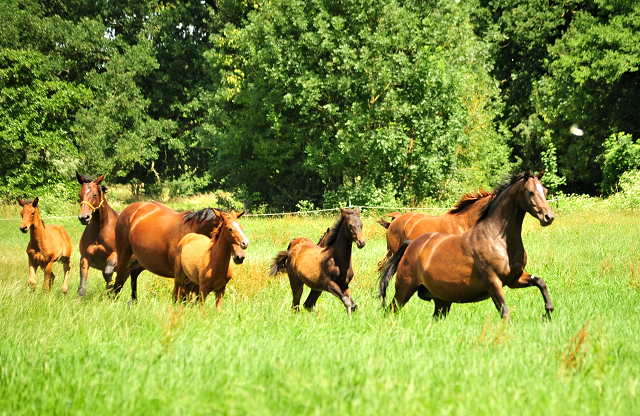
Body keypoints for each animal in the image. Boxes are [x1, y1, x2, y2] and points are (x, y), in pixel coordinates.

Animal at [75, 172, 122, 300]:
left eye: (95, 194)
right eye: (80, 194)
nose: (83, 217)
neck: (101, 229)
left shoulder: (114, 255)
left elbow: (108, 272)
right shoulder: (85, 258)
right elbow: (82, 287)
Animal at [111, 202, 244, 302]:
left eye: (241, 228)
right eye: (230, 229)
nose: (240, 256)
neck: (193, 232)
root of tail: (129, 210)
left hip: (146, 259)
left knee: (133, 270)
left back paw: (133, 301)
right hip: (125, 255)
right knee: (119, 279)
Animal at [380, 171, 556, 320]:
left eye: (545, 191)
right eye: (531, 192)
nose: (549, 217)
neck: (498, 239)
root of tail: (411, 244)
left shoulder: (515, 278)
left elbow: (540, 282)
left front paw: (547, 312)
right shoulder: (493, 283)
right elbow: (505, 313)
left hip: (441, 300)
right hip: (404, 287)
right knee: (390, 308)